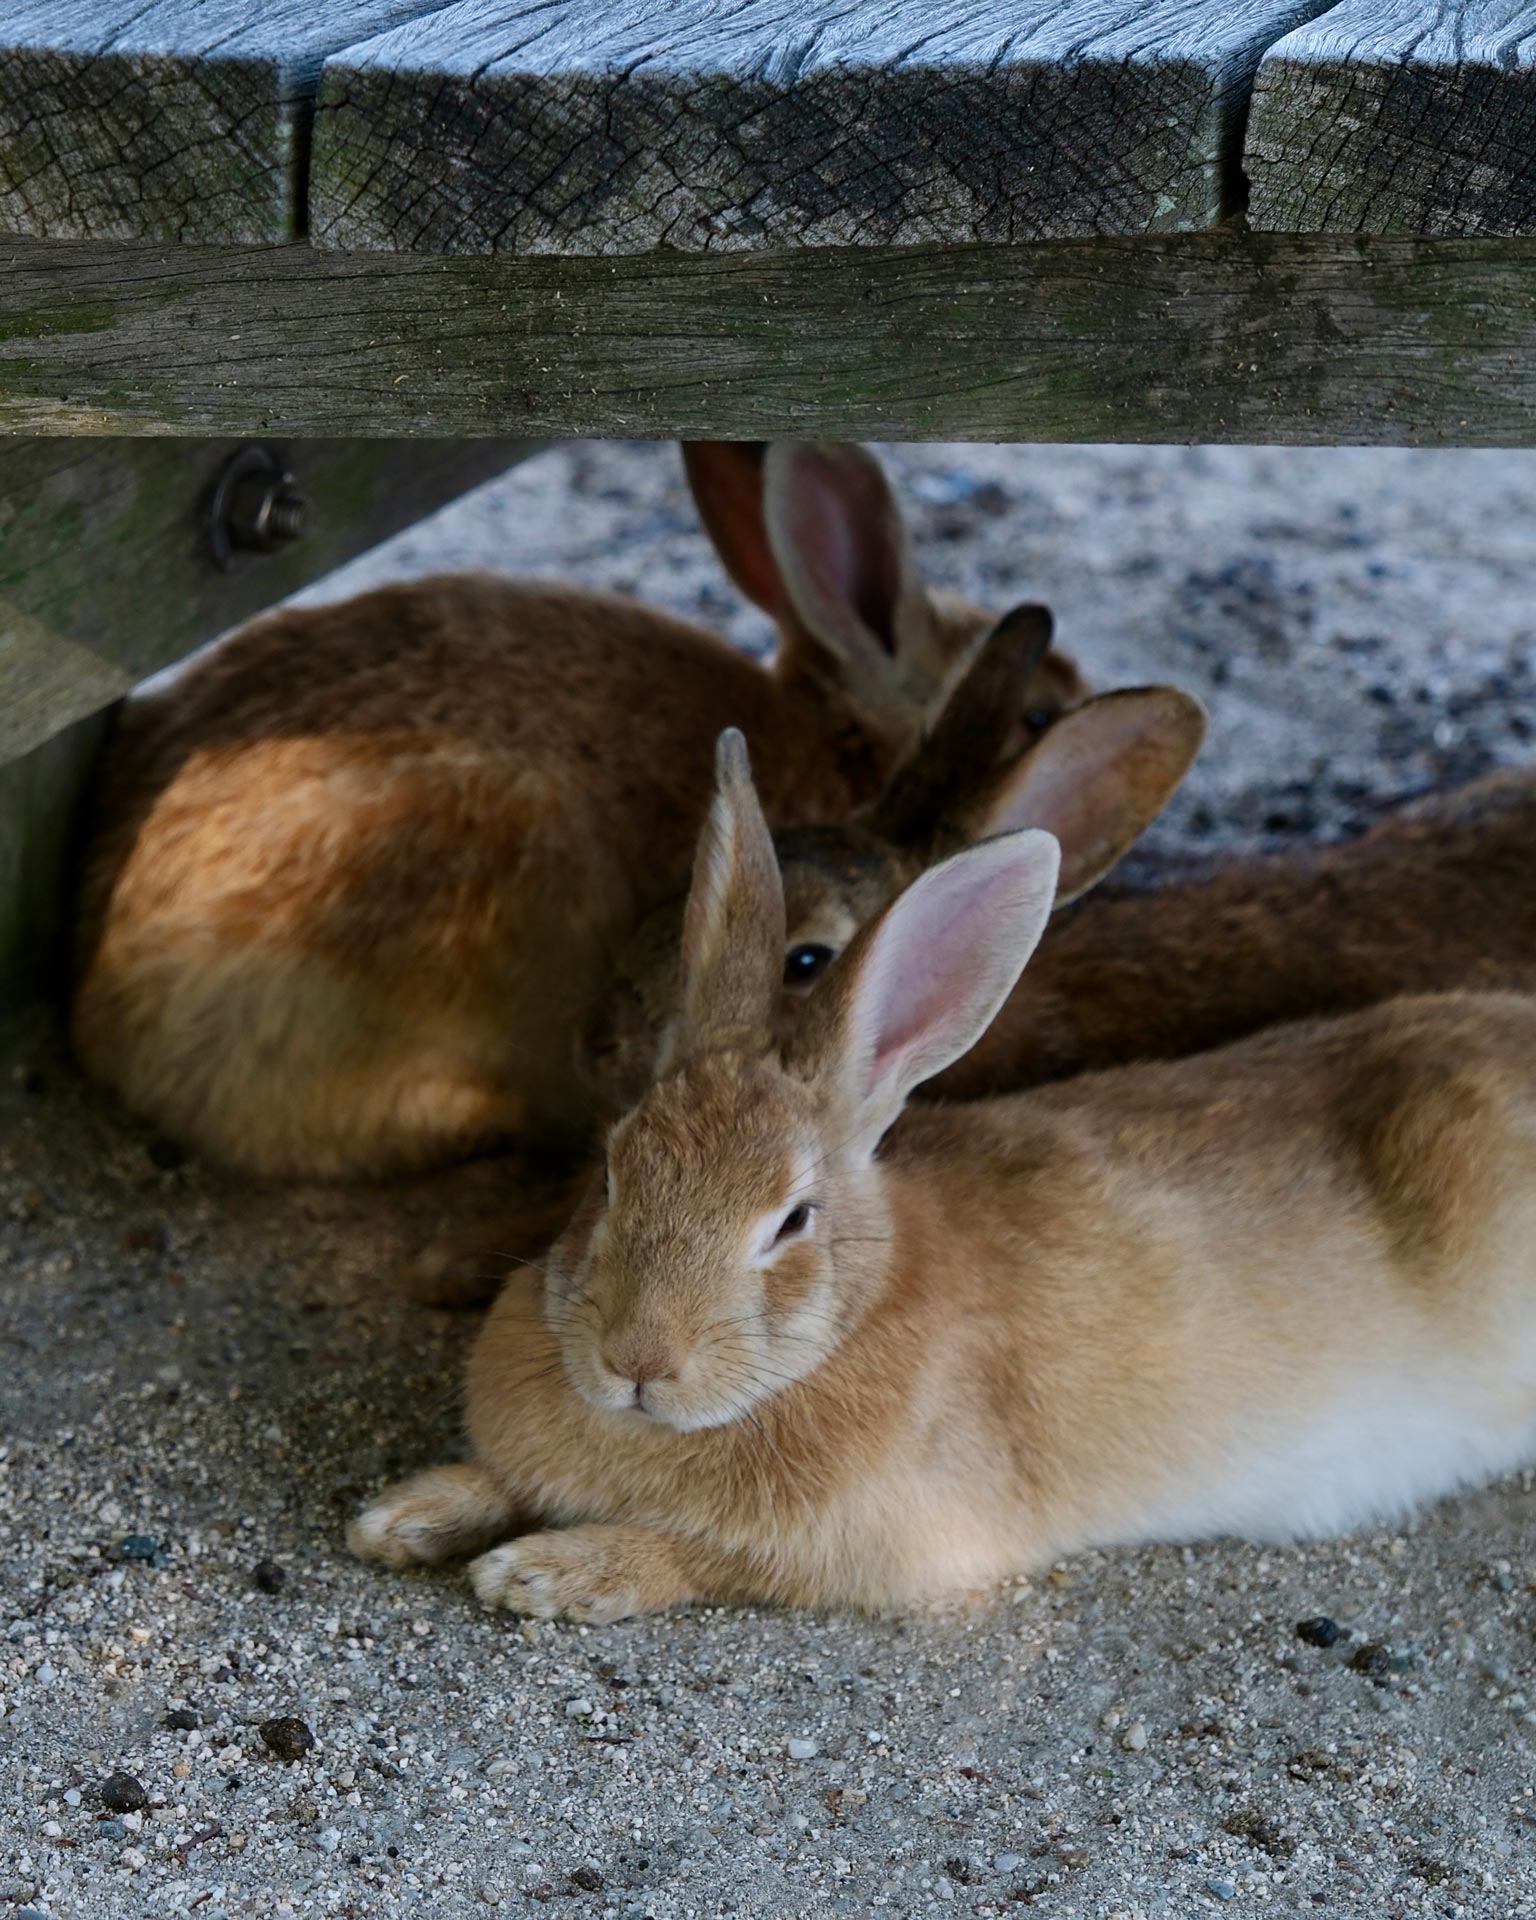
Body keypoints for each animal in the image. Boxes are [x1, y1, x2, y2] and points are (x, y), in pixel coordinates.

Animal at [349, 732, 1536, 1621]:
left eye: (791, 1220)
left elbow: (704, 1559)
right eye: (610, 1169)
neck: (840, 1326)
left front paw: (545, 1573)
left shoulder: (876, 1549)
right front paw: (401, 1516)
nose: (637, 1359)